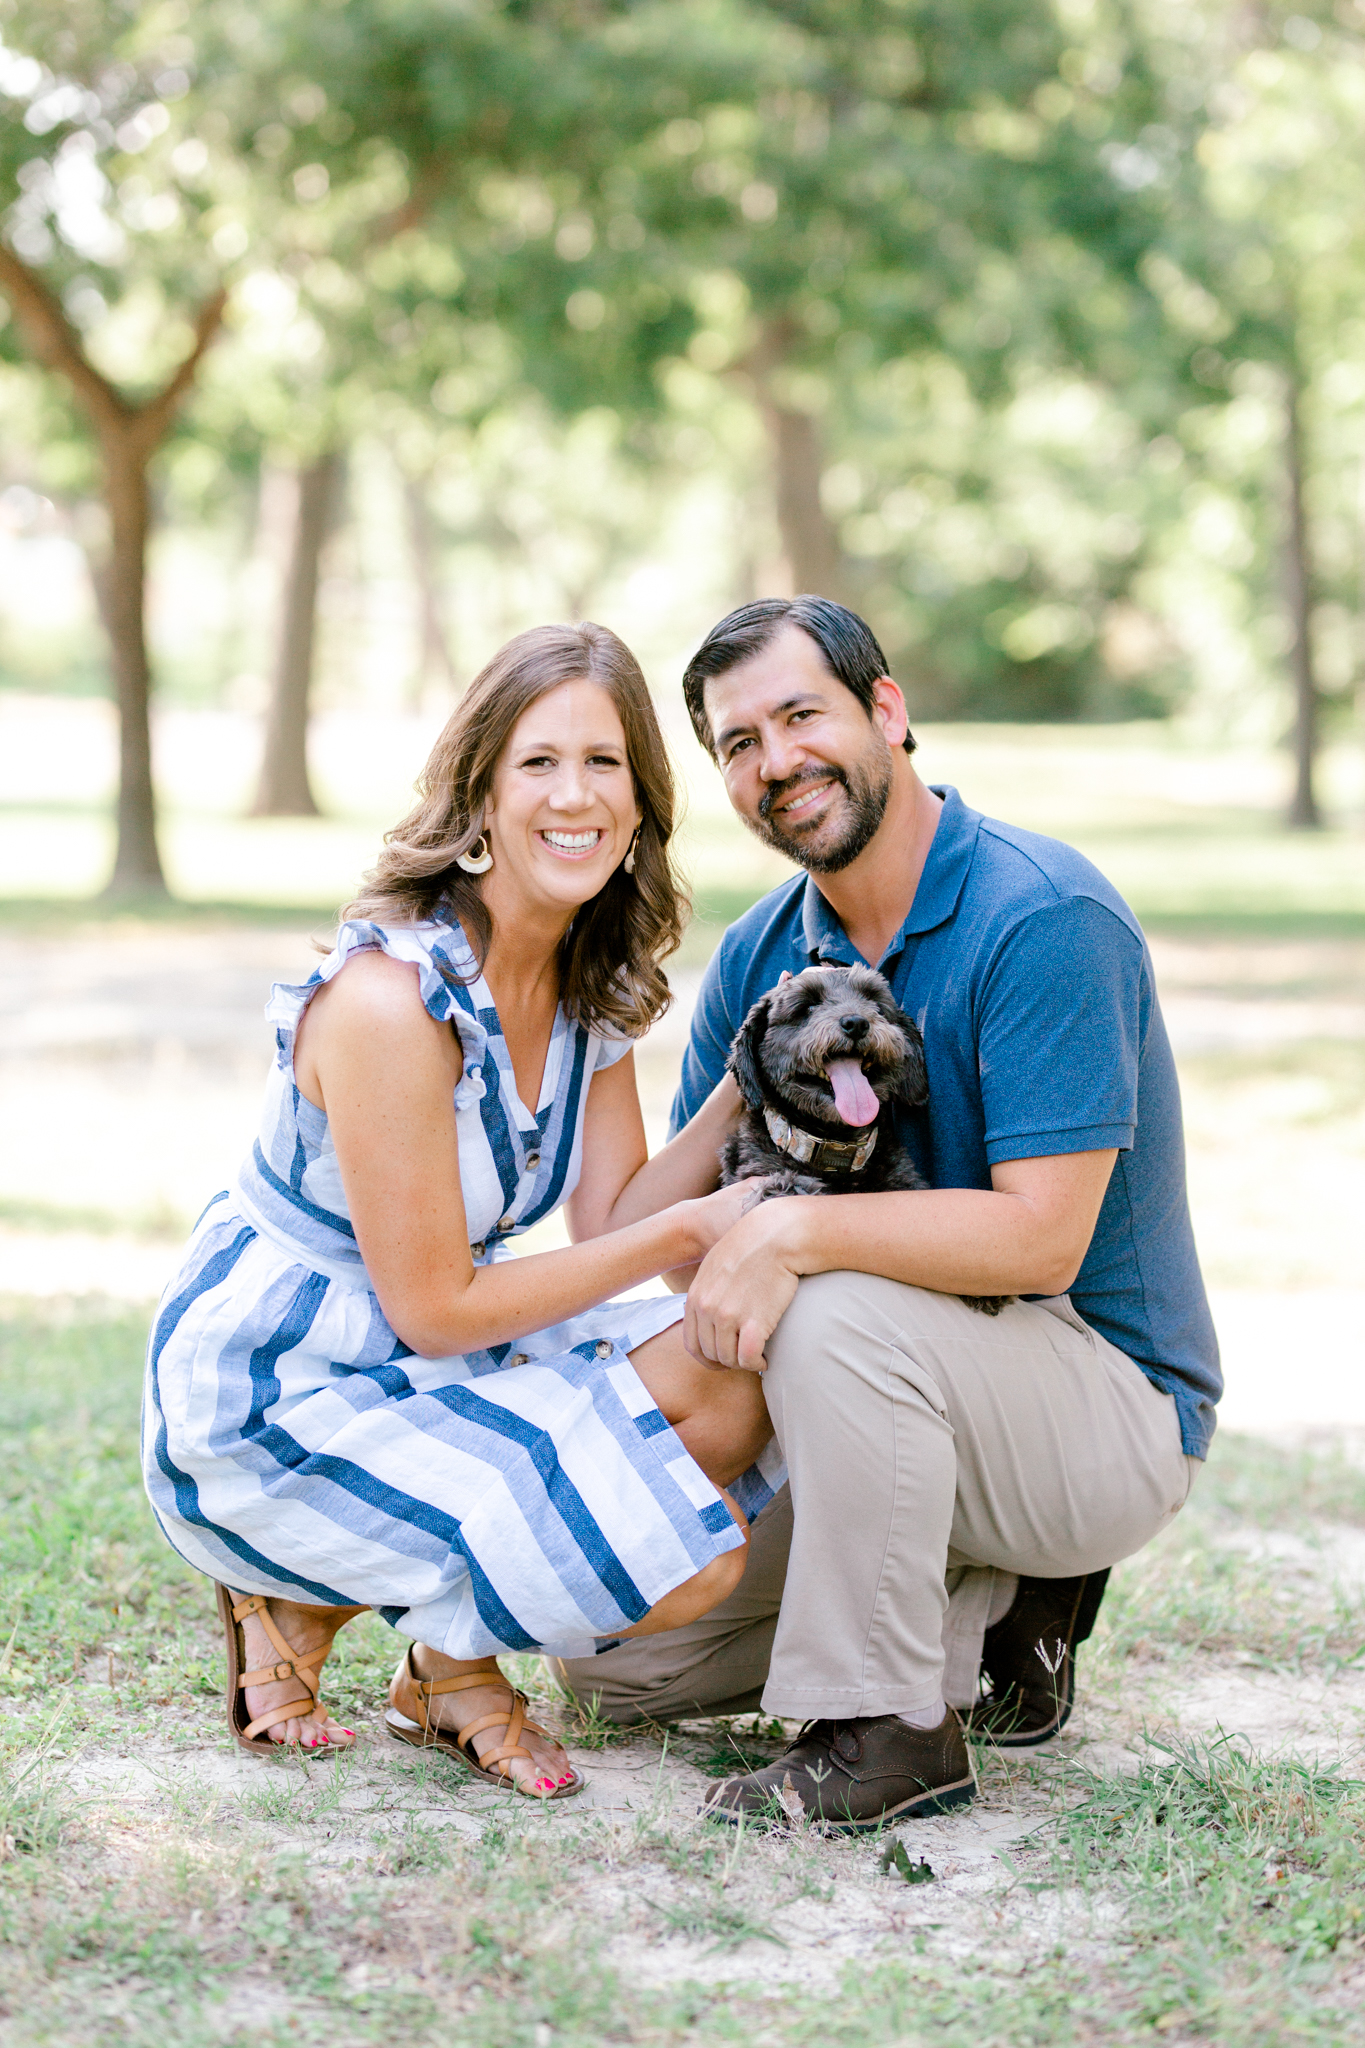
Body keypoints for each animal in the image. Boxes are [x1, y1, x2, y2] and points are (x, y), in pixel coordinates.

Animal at [720, 966, 1010, 1318]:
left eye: (874, 1003)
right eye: (806, 1007)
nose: (856, 1022)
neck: (836, 1146)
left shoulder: (904, 1185)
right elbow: (781, 1188)